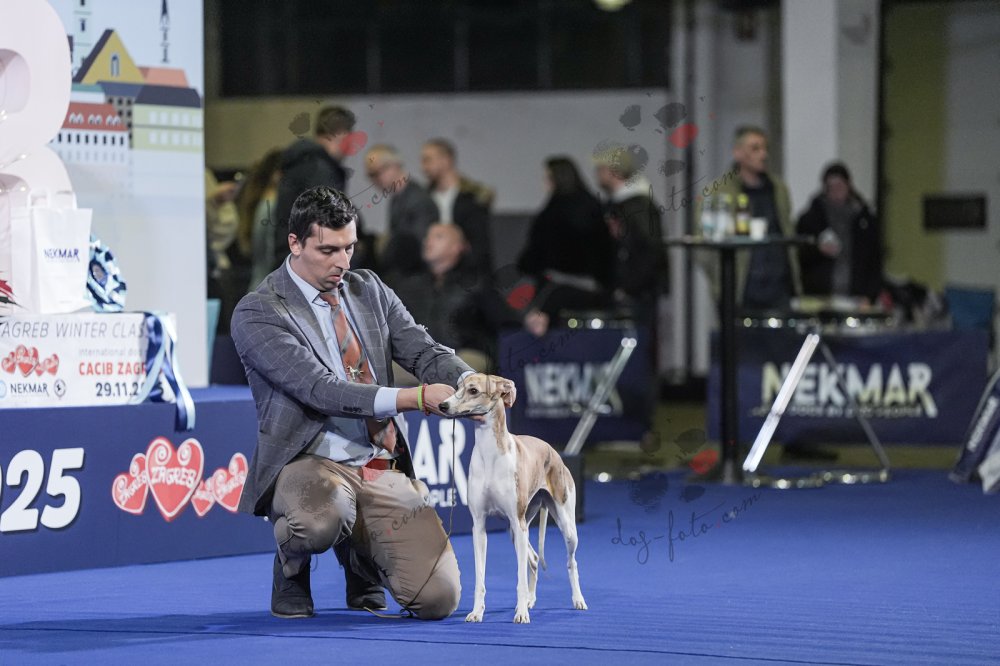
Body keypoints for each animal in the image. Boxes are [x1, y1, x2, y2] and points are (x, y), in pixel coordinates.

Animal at [439, 373, 587, 624]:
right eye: (457, 387)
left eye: (473, 390)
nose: (443, 405)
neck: (490, 453)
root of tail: (553, 451)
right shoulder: (479, 526)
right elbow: (480, 578)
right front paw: (477, 612)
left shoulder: (518, 524)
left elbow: (519, 579)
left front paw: (520, 614)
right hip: (517, 528)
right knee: (534, 559)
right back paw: (530, 600)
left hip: (563, 525)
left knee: (572, 562)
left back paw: (577, 600)